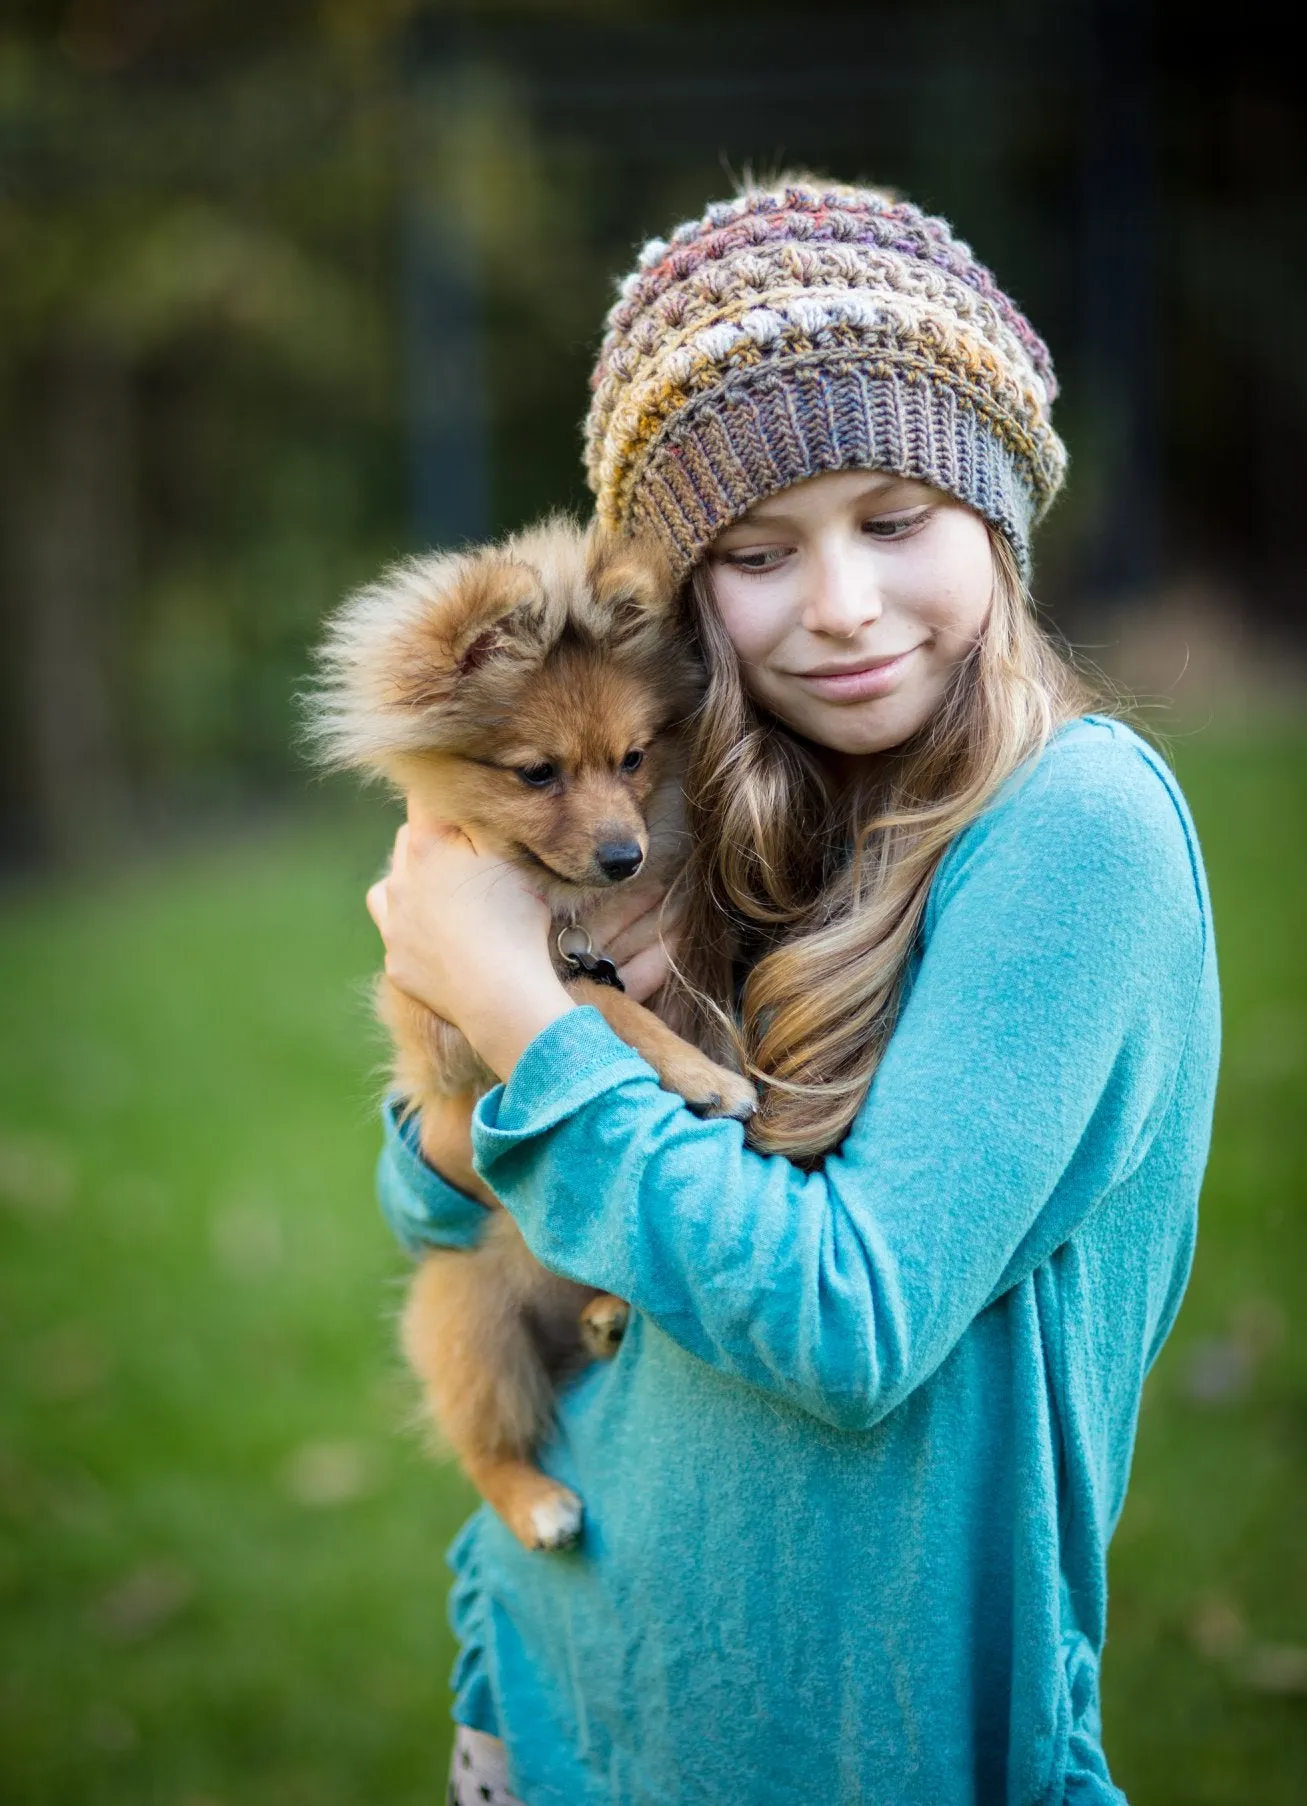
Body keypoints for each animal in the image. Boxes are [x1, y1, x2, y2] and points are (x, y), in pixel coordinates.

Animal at [308, 520, 754, 1553]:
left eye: (633, 758)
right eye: (536, 773)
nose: (623, 855)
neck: (566, 913)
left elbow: (648, 997)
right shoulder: (444, 1017)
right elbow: (599, 1004)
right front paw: (696, 1074)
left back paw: (605, 1312)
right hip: (467, 1325)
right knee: (485, 1439)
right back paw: (535, 1498)